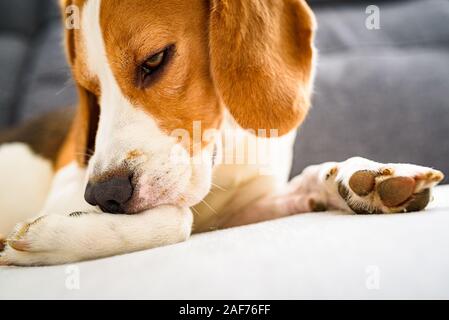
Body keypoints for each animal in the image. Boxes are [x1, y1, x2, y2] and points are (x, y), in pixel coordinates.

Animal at [0, 0, 440, 264]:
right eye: (90, 89)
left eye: (155, 60)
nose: (104, 196)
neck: (222, 155)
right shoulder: (66, 191)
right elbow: (179, 219)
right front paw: (53, 234)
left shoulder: (243, 208)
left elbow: (310, 179)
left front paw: (363, 177)